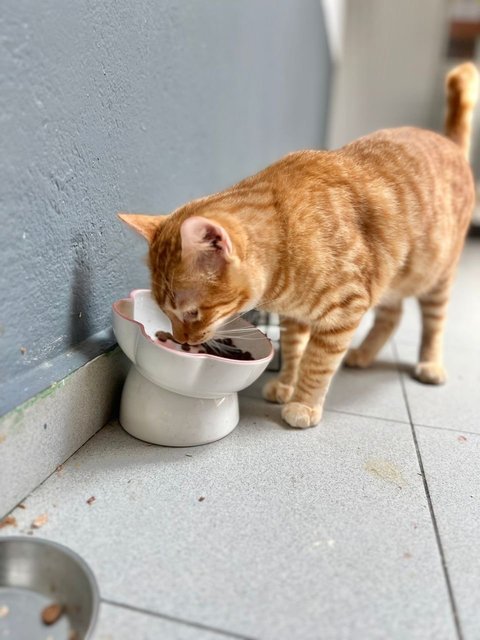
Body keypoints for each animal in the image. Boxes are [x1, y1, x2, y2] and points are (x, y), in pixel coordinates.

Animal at [119, 61, 476, 430]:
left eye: (191, 313)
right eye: (165, 312)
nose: (182, 340)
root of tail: (447, 141)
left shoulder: (345, 310)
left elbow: (317, 363)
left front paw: (303, 403)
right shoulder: (295, 315)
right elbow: (294, 351)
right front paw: (287, 384)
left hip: (435, 279)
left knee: (433, 324)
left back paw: (430, 364)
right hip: (392, 280)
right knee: (393, 315)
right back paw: (363, 354)